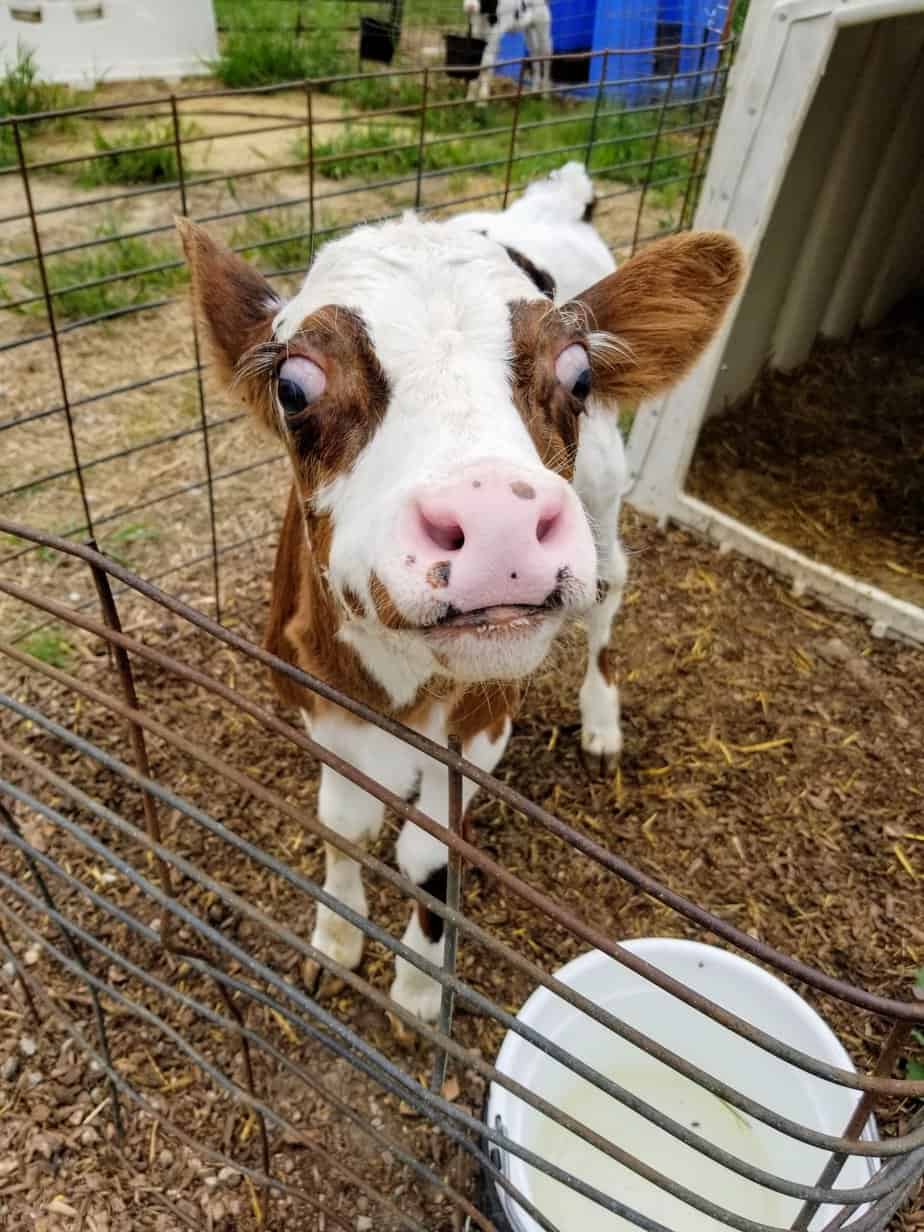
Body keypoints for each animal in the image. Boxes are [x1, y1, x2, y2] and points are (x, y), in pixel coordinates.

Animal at [177, 161, 743, 1022]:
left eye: (578, 374)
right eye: (294, 391)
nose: (496, 519)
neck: (399, 686)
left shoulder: (485, 717)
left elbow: (428, 854)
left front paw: (416, 986)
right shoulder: (311, 693)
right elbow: (343, 822)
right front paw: (335, 939)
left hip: (603, 498)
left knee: (610, 594)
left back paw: (602, 722)